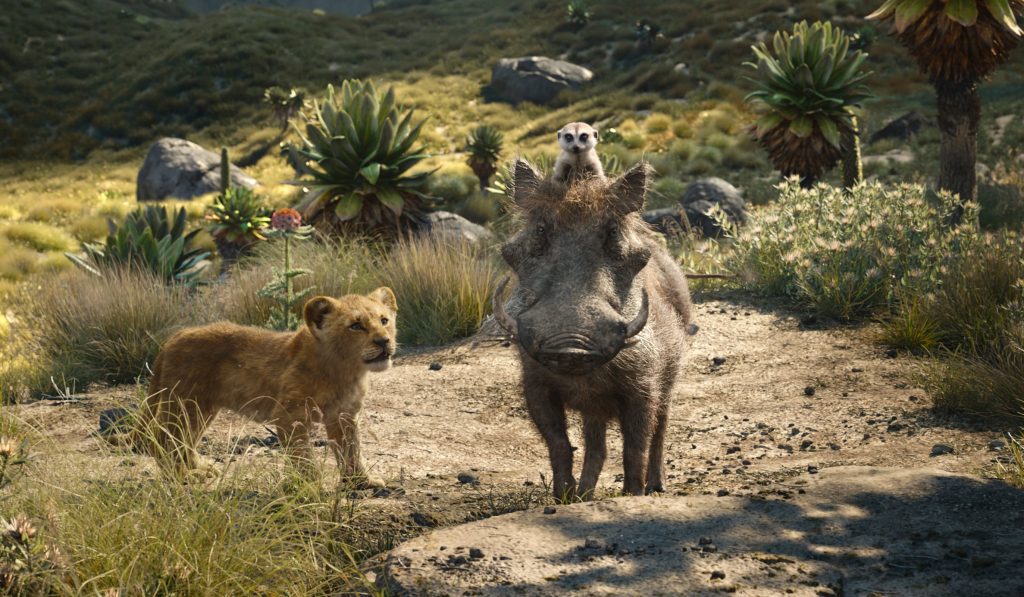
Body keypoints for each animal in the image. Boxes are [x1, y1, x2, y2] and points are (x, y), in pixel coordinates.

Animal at [135, 288, 398, 487]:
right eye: (356, 326)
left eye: (384, 320)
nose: (384, 341)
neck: (347, 371)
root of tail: (173, 338)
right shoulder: (290, 415)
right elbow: (303, 456)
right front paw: (311, 488)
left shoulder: (344, 415)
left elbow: (351, 449)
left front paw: (361, 481)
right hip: (185, 403)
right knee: (163, 438)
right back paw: (185, 476)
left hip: (201, 408)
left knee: (185, 440)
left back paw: (200, 467)